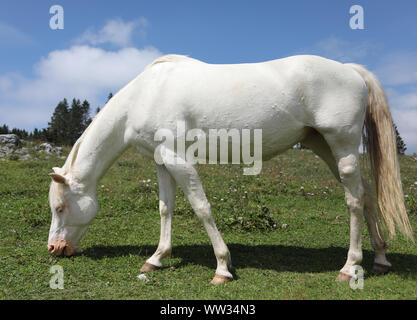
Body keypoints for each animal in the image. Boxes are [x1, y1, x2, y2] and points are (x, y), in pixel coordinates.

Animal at [47, 53, 412, 284]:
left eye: (60, 207)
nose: (54, 249)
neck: (145, 94)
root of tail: (352, 71)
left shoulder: (180, 159)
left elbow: (201, 208)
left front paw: (222, 268)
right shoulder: (162, 161)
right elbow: (166, 208)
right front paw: (157, 258)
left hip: (343, 147)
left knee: (354, 200)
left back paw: (350, 268)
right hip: (325, 147)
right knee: (366, 193)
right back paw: (380, 258)